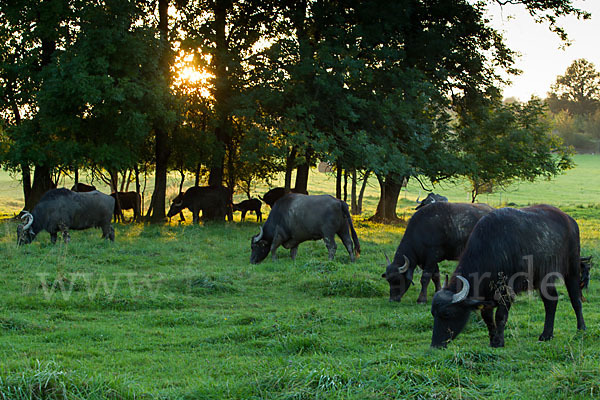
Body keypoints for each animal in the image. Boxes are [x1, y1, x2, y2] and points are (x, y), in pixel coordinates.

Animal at [432, 205, 584, 348]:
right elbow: (487, 318)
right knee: (551, 302)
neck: (491, 250)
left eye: (447, 314)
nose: (435, 345)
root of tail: (570, 221)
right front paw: (492, 340)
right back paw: (546, 335)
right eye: (433, 313)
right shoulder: (486, 295)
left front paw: (499, 342)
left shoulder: (506, 291)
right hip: (543, 278)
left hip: (572, 268)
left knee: (575, 299)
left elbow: (500, 316)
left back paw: (580, 330)